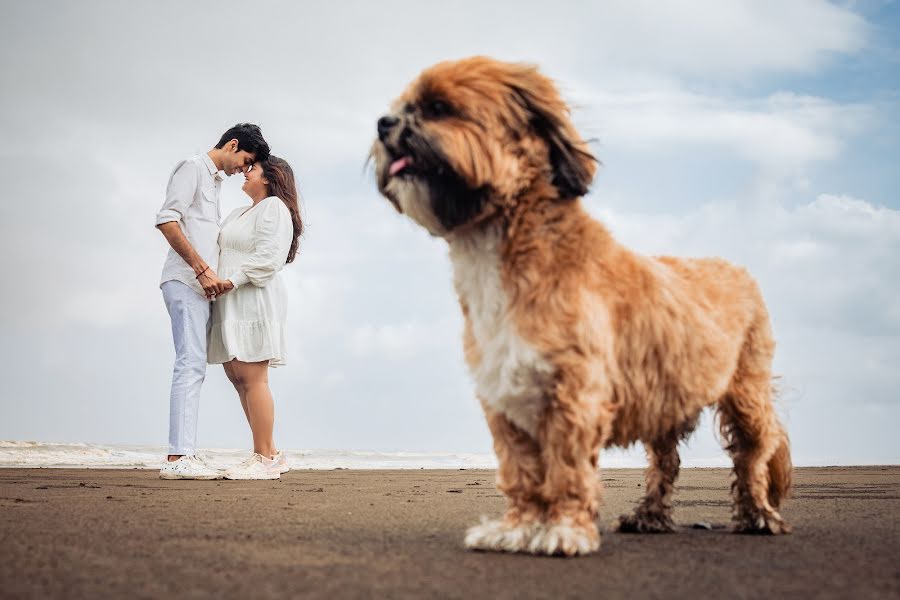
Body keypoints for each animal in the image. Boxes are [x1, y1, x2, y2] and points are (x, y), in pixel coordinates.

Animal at [370, 57, 792, 556]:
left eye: (438, 108)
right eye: (400, 107)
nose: (383, 123)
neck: (504, 249)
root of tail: (736, 268)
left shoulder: (575, 394)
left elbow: (567, 470)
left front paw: (563, 529)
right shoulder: (505, 398)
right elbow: (522, 472)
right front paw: (518, 527)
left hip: (746, 394)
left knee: (752, 457)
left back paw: (759, 514)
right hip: (665, 399)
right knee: (665, 463)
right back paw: (650, 516)